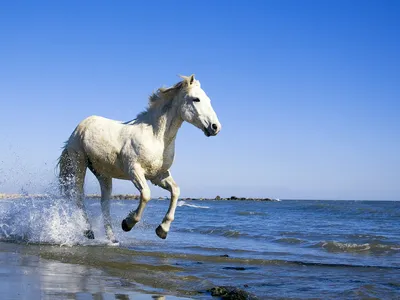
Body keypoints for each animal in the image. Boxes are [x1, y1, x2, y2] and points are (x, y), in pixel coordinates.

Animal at [58, 74, 222, 244]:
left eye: (208, 99)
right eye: (196, 99)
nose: (215, 127)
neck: (156, 136)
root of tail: (80, 126)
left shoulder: (158, 175)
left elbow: (176, 191)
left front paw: (162, 230)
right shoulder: (134, 170)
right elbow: (146, 195)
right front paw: (127, 223)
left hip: (103, 174)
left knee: (104, 204)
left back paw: (112, 238)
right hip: (79, 164)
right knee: (78, 197)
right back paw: (88, 231)